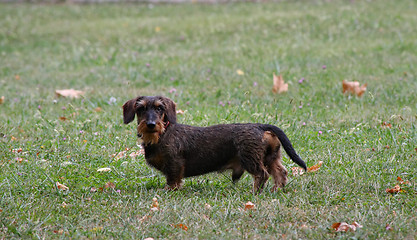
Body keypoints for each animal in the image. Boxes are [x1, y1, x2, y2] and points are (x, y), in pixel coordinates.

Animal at [122, 96, 306, 193]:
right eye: (141, 109)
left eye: (160, 108)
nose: (151, 124)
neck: (161, 135)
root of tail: (260, 126)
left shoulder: (174, 163)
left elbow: (173, 180)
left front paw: (168, 191)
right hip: (271, 157)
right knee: (280, 172)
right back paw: (277, 189)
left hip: (250, 159)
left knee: (262, 174)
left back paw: (255, 192)